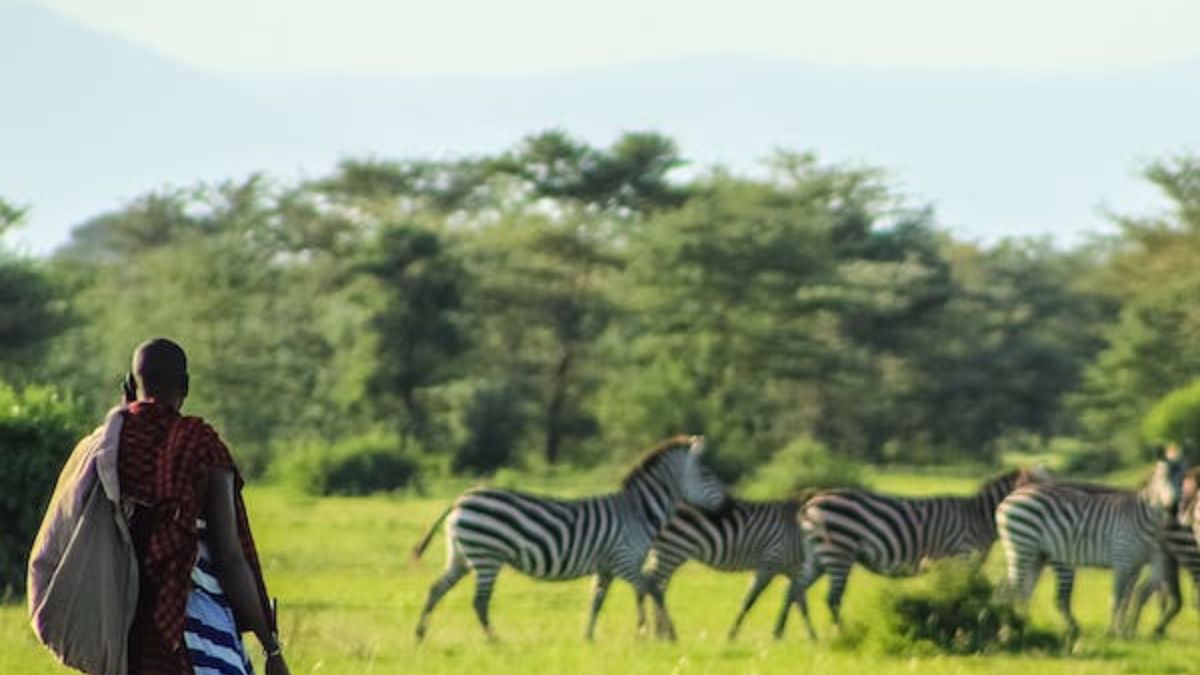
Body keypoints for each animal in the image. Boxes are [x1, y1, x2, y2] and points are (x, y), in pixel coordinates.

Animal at [412, 432, 724, 638]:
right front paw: (669, 634)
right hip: (487, 555)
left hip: (462, 555)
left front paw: (588, 638)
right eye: (707, 474)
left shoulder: (607, 566)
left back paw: (419, 636)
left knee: (436, 588)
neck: (638, 512)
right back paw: (495, 643)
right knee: (479, 602)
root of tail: (460, 499)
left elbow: (597, 601)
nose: (728, 504)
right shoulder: (625, 560)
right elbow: (653, 589)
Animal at [638, 494, 816, 638]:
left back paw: (660, 633)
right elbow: (749, 600)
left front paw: (813, 637)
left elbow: (800, 602)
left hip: (667, 551)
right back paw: (657, 633)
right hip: (673, 548)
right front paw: (732, 635)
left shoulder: (794, 570)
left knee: (656, 586)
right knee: (651, 584)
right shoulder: (770, 562)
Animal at [796, 468, 1041, 624]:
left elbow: (954, 593)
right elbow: (961, 594)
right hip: (839, 551)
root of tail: (812, 500)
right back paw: (841, 634)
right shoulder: (962, 556)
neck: (977, 517)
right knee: (832, 599)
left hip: (820, 556)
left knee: (797, 591)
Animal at [993, 454, 1190, 638]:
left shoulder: (1136, 564)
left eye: (1182, 480)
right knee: (1010, 589)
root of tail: (1007, 500)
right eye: (1162, 478)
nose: (1173, 508)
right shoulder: (1122, 558)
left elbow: (1127, 598)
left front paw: (1124, 632)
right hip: (1022, 547)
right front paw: (1113, 633)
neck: (1142, 516)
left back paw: (1022, 626)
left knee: (1023, 591)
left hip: (1036, 555)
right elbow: (1117, 598)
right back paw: (1008, 630)